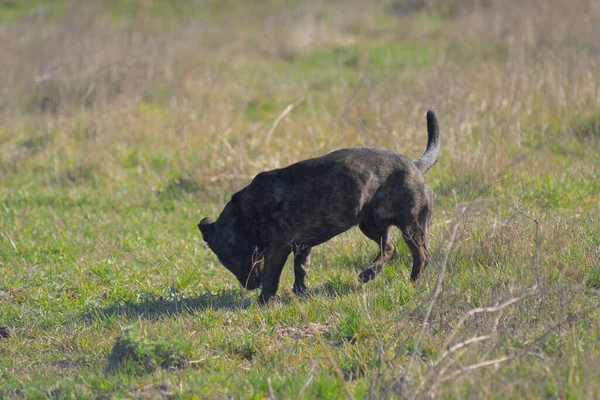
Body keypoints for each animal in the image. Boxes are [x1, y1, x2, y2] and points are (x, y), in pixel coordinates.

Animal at [199, 108, 438, 304]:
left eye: (230, 259)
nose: (249, 286)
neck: (243, 215)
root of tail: (415, 165)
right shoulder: (302, 246)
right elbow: (300, 269)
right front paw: (301, 293)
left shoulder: (277, 249)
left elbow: (271, 277)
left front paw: (263, 301)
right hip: (371, 224)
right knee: (389, 247)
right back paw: (370, 273)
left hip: (411, 227)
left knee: (421, 256)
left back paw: (411, 283)